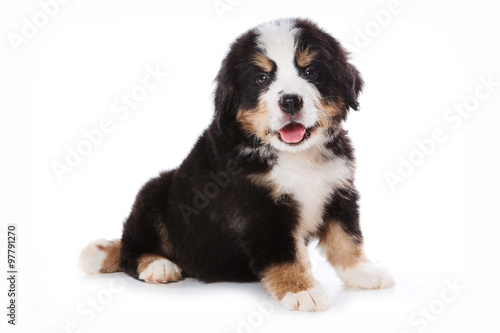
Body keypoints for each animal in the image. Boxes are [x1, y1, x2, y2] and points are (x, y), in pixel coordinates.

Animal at [79, 18, 394, 310]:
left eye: (310, 72)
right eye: (261, 78)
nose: (290, 101)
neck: (295, 157)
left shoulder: (338, 189)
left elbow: (347, 238)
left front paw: (364, 272)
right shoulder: (260, 210)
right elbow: (285, 255)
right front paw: (301, 291)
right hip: (154, 192)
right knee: (129, 250)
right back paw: (157, 265)